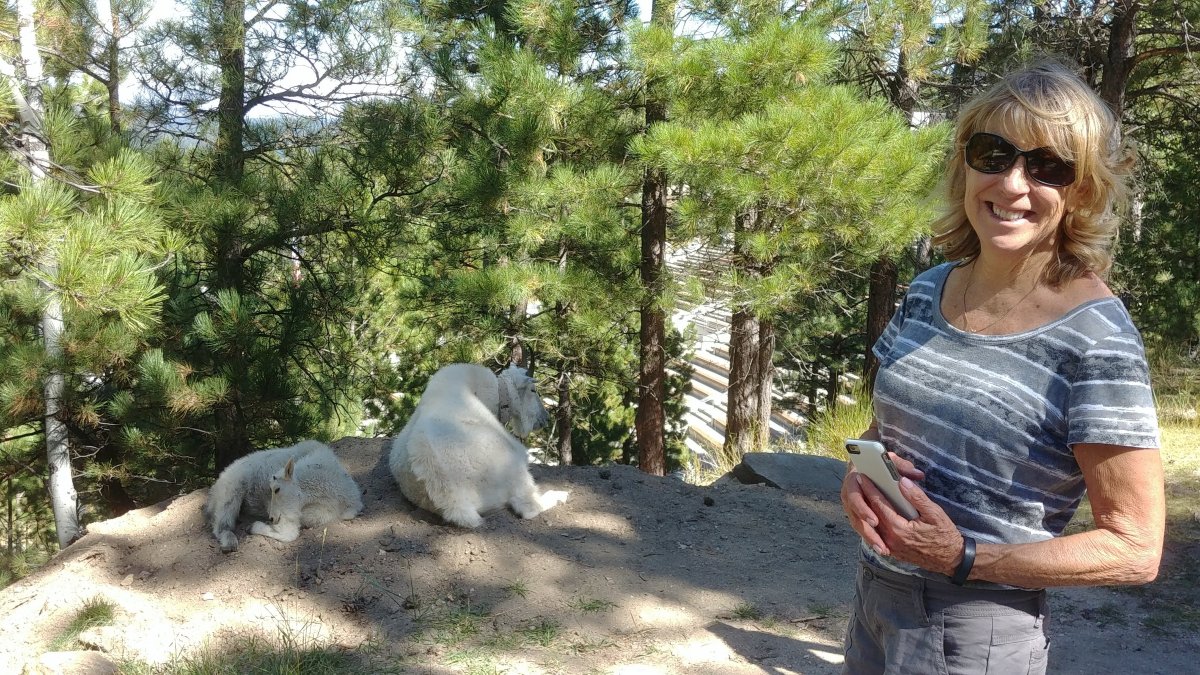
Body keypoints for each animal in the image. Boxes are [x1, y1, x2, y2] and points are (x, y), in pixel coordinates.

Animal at [204, 437, 362, 552]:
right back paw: (229, 542)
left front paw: (254, 527)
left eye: (277, 489)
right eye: (271, 489)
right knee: (222, 524)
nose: (271, 518)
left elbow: (290, 532)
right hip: (232, 489)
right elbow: (289, 531)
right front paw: (254, 527)